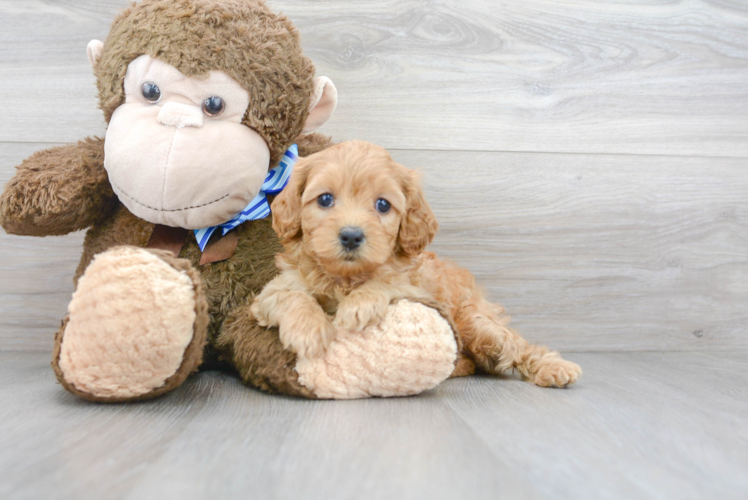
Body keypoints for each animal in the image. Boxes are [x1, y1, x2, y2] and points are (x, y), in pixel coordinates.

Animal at [253, 141, 584, 386]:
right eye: (324, 199)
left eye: (382, 205)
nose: (350, 236)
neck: (345, 278)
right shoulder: (271, 293)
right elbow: (292, 296)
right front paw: (308, 331)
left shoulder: (420, 294)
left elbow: (386, 282)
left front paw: (359, 305)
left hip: (476, 323)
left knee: (515, 346)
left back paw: (553, 367)